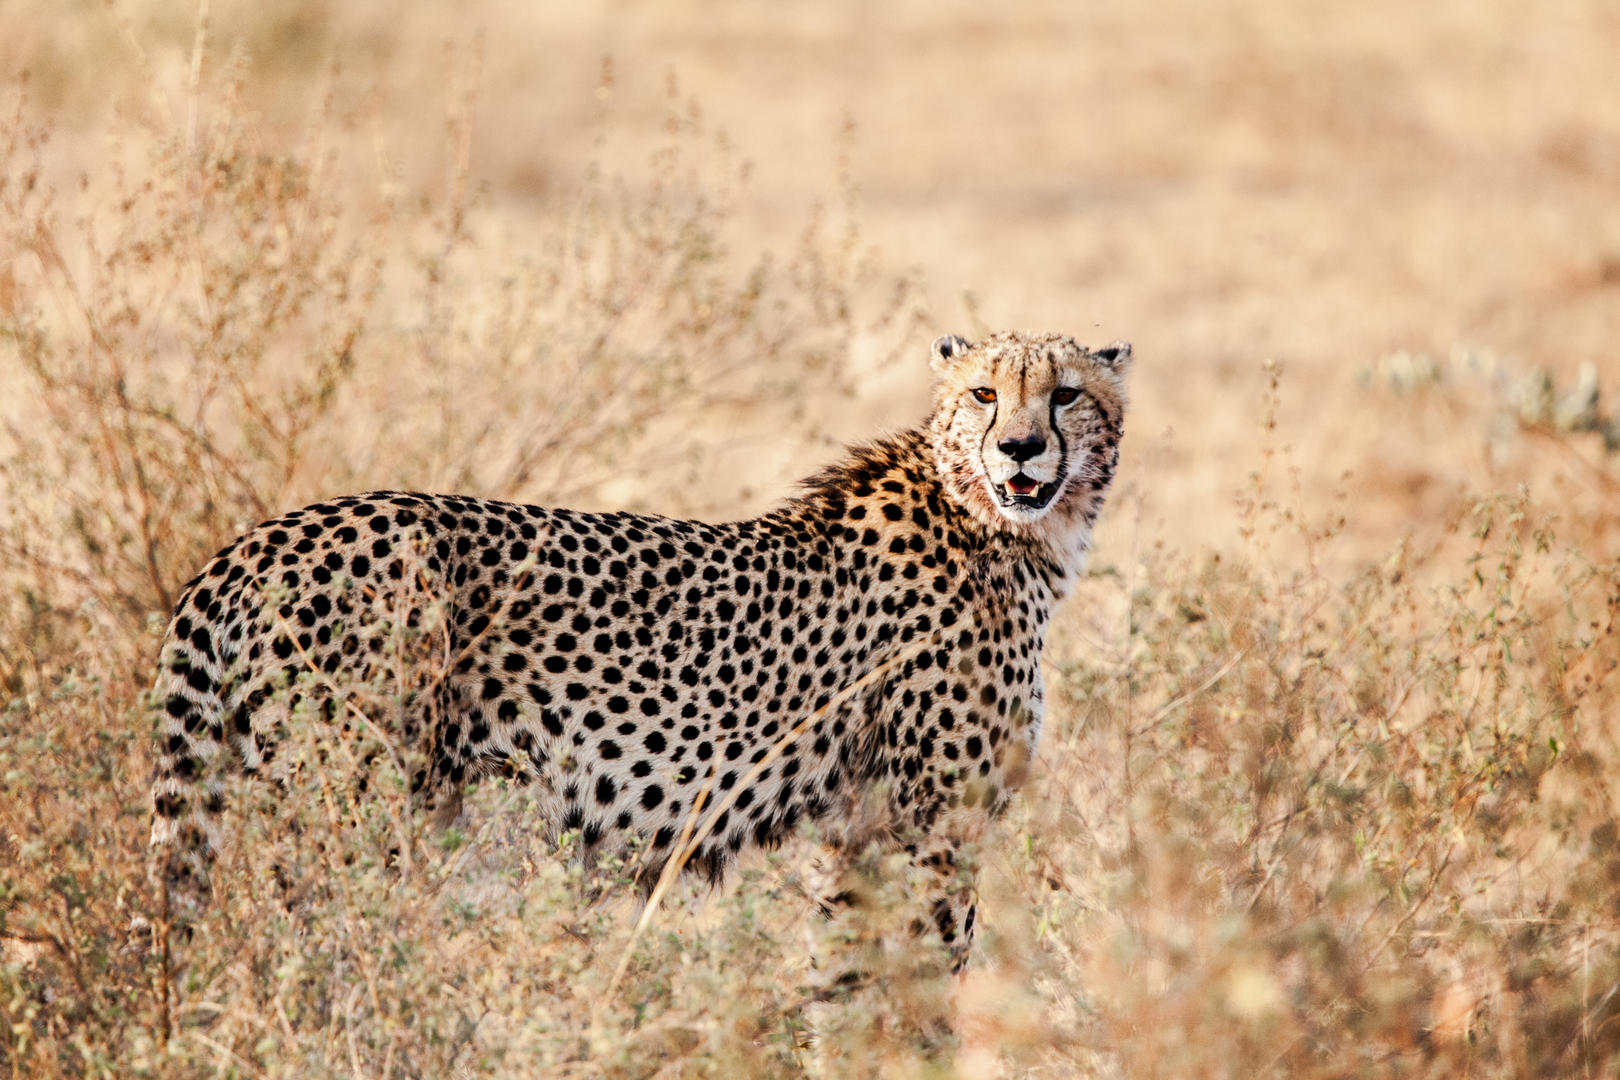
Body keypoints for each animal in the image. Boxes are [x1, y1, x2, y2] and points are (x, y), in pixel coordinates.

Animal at [148, 329, 1130, 972]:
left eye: (1066, 394)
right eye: (984, 394)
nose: (1021, 448)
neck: (1003, 524)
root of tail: (261, 536)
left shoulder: (861, 827)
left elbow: (848, 978)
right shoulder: (932, 822)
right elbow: (924, 978)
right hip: (354, 800)